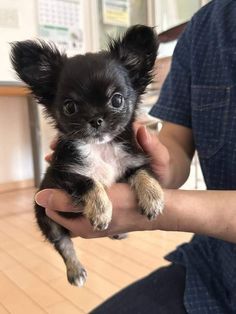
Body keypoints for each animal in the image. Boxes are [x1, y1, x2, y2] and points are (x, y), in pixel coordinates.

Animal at [10, 25, 164, 288]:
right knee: (63, 243)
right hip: (46, 218)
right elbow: (89, 181)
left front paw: (153, 198)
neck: (100, 148)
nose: (95, 119)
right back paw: (75, 271)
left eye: (117, 100)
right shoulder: (62, 174)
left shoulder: (133, 160)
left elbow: (143, 173)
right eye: (69, 107)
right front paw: (101, 210)